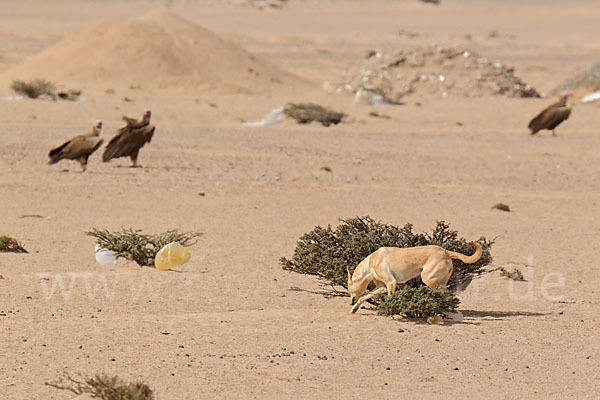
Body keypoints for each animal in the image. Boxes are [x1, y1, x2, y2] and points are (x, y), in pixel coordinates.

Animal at [346, 241, 482, 312]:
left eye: (348, 288)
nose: (350, 301)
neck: (370, 263)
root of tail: (445, 251)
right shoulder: (382, 287)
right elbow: (363, 297)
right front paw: (354, 308)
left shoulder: (391, 283)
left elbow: (389, 299)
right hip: (438, 281)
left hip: (427, 278)